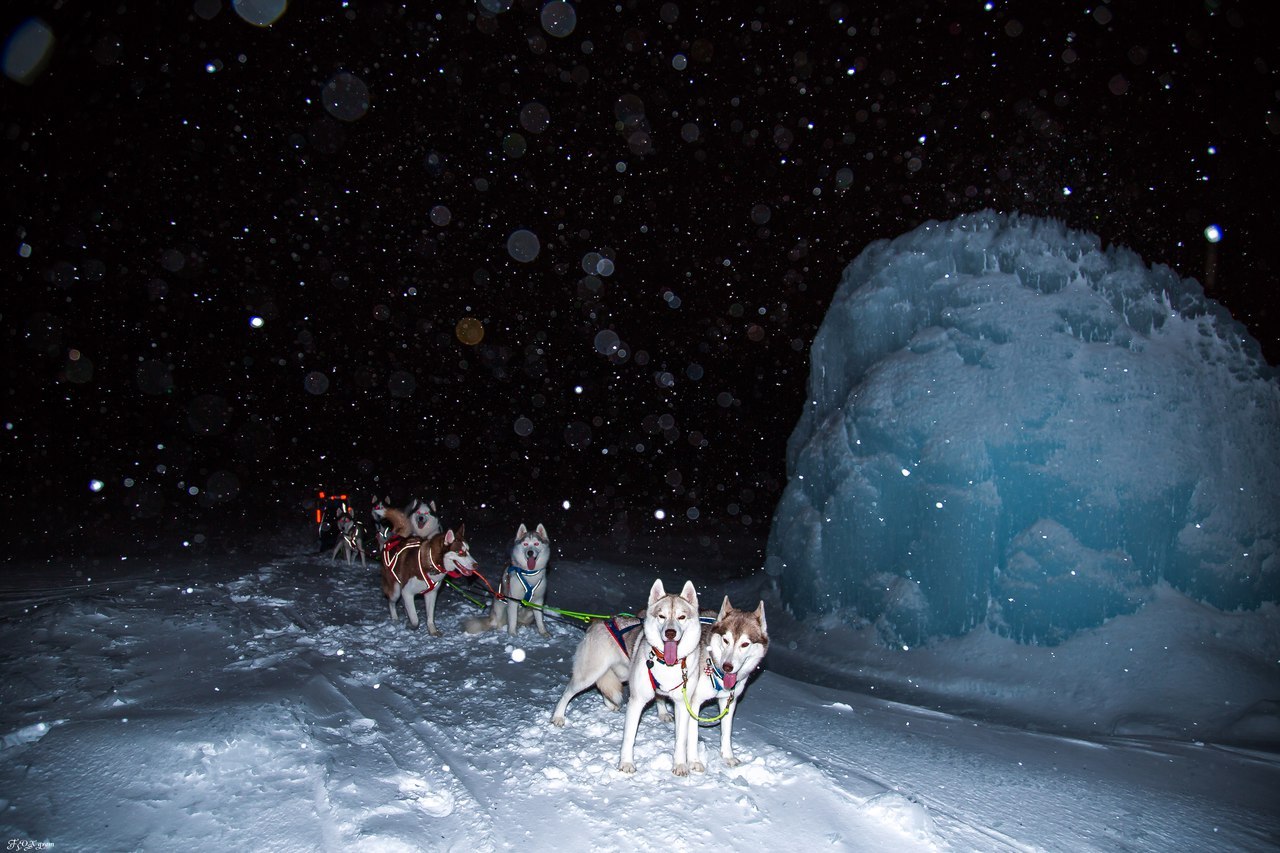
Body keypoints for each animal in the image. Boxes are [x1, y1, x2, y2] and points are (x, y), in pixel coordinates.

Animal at [680, 594, 768, 768]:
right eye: (726, 640)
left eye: (745, 644)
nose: (727, 666)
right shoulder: (693, 703)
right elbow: (693, 734)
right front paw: (694, 761)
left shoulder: (729, 702)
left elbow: (726, 732)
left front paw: (728, 756)